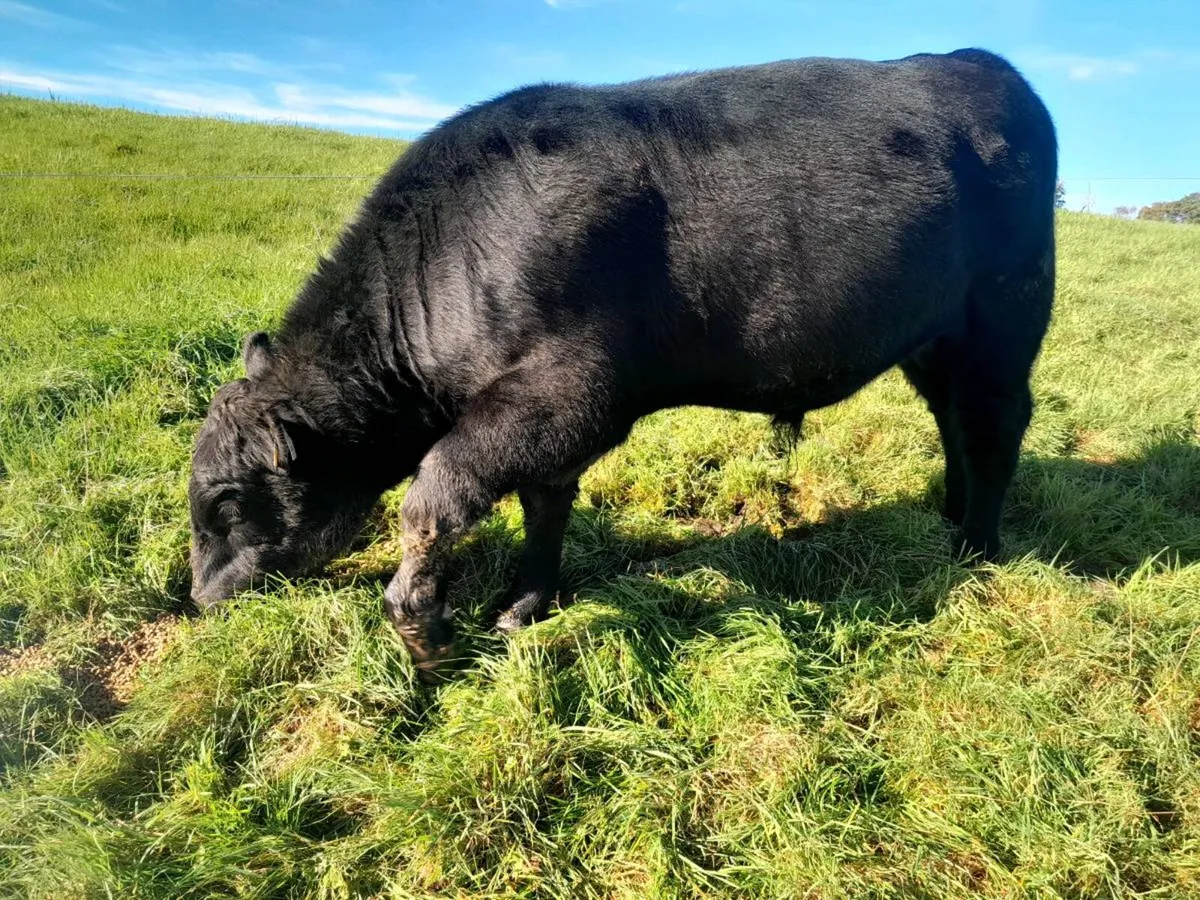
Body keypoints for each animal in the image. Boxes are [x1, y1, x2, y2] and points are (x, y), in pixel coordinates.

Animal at [188, 48, 1057, 680]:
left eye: (227, 504)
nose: (197, 597)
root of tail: (980, 63)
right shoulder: (545, 422)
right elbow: (544, 505)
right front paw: (527, 602)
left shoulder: (566, 395)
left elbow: (432, 500)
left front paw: (423, 634)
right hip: (934, 340)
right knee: (953, 419)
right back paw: (950, 516)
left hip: (1005, 316)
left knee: (994, 425)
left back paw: (978, 550)